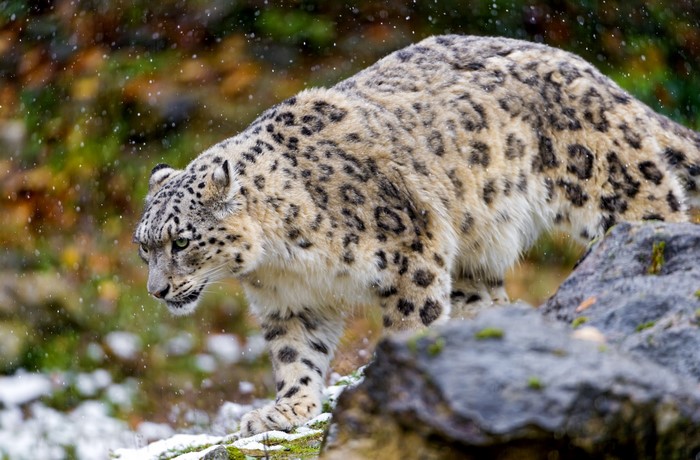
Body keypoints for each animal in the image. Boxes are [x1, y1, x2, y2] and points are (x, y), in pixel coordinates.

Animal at [133, 35, 700, 436]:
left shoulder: (412, 252)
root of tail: (591, 72)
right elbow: (296, 356)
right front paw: (285, 410)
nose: (156, 291)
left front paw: (396, 380)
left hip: (615, 188)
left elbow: (412, 321)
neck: (283, 258)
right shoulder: (290, 302)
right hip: (476, 258)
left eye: (181, 242)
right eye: (144, 248)